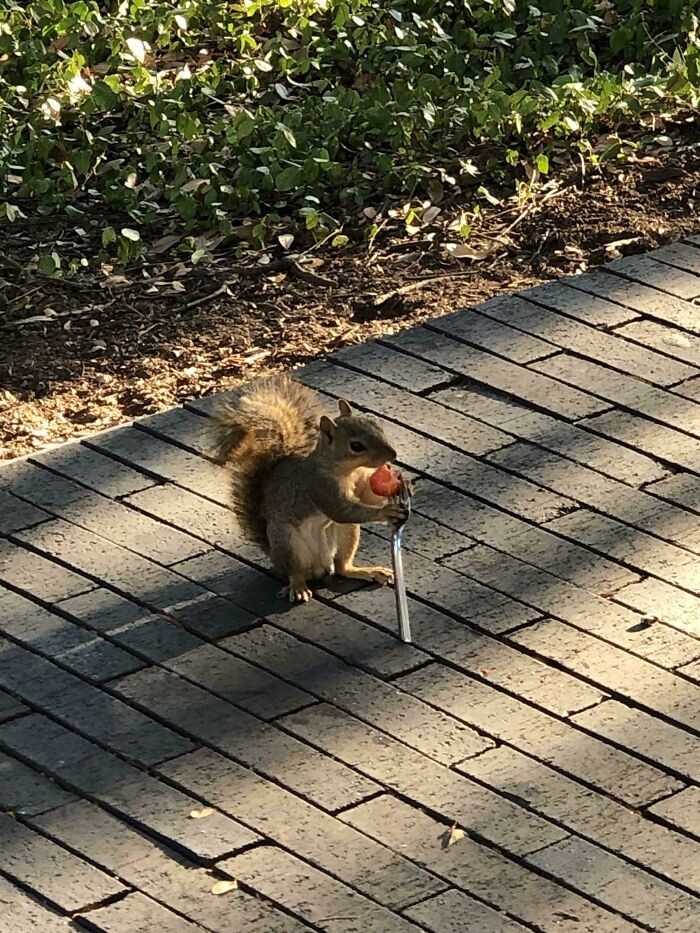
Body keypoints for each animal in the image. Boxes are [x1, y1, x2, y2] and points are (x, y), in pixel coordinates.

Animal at [216, 374, 408, 600]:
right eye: (356, 446)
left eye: (376, 426)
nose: (393, 455)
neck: (347, 469)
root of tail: (319, 566)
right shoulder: (319, 486)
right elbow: (343, 511)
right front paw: (388, 511)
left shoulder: (359, 483)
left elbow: (367, 498)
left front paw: (404, 485)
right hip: (287, 542)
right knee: (295, 571)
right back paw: (298, 586)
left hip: (347, 533)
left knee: (342, 567)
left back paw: (366, 571)